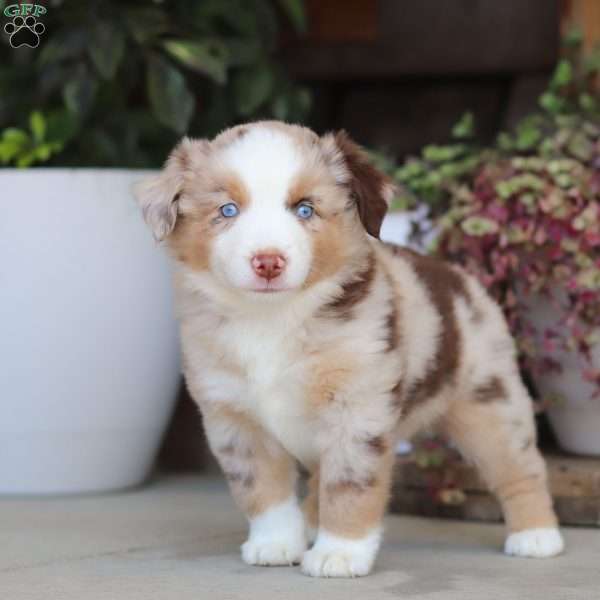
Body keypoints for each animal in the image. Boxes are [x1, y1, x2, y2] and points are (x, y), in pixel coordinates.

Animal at [134, 120, 564, 576]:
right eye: (228, 211)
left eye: (305, 209)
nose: (268, 262)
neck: (271, 318)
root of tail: (461, 279)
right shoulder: (234, 418)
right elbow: (263, 490)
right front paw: (275, 544)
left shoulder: (357, 410)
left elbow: (350, 486)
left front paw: (339, 554)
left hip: (490, 402)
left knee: (520, 469)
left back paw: (536, 536)